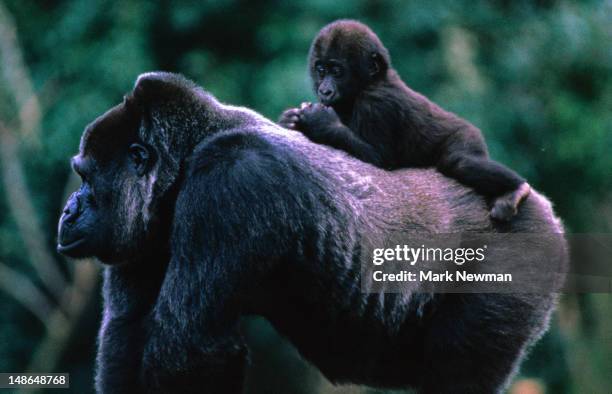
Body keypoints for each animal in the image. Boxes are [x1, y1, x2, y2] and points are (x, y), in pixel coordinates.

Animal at [56, 72, 564, 392]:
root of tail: (543, 209)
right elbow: (126, 338)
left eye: (85, 177)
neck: (193, 147)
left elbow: (188, 349)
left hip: (523, 255)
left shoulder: (231, 182)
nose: (67, 211)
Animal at [280, 20, 532, 220]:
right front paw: (289, 120)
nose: (324, 91)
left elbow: (378, 158)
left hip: (467, 134)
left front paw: (320, 122)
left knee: (460, 161)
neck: (373, 81)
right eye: (321, 70)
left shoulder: (376, 103)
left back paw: (515, 190)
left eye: (337, 71)